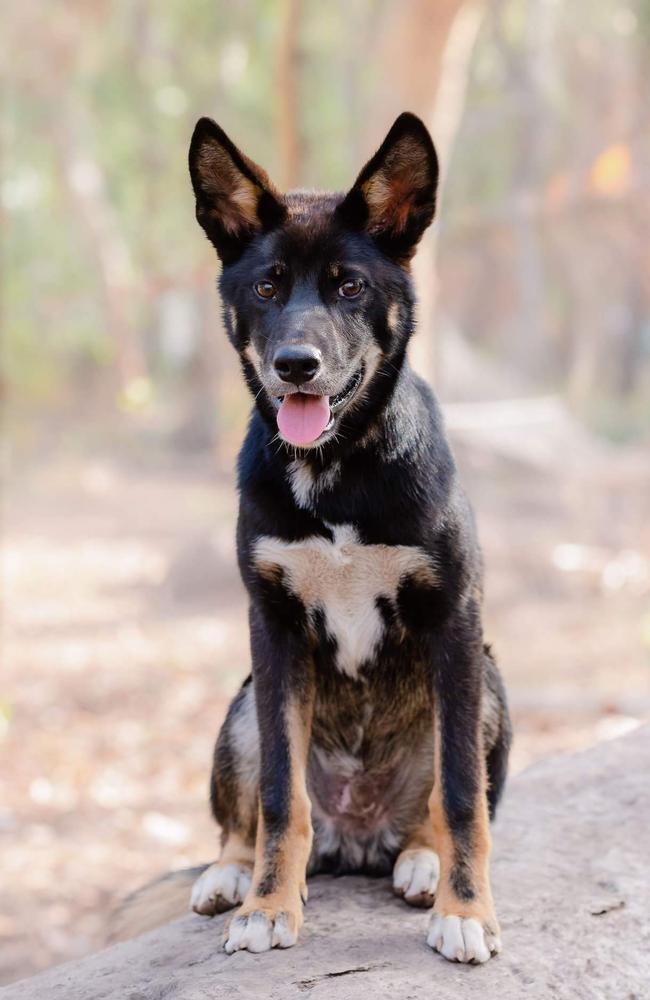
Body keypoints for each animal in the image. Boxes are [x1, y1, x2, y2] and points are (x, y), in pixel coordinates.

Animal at [111, 113, 508, 964]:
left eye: (349, 286)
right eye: (266, 287)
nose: (296, 365)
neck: (337, 470)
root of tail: (356, 841)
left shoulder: (456, 621)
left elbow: (463, 796)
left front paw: (467, 912)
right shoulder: (274, 628)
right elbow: (278, 796)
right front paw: (267, 905)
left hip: (488, 682)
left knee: (435, 808)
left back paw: (423, 862)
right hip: (241, 703)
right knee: (248, 817)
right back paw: (230, 875)